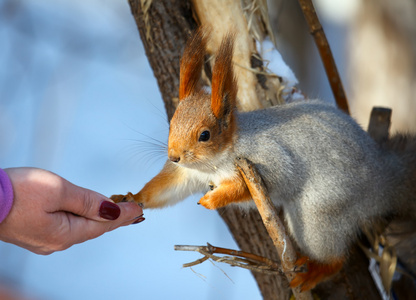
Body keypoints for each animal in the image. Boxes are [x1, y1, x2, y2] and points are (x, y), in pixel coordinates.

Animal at [110, 28, 416, 290]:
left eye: (205, 135)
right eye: (171, 124)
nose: (174, 156)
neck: (213, 163)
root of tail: (382, 176)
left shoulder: (266, 158)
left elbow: (260, 182)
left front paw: (214, 198)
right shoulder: (187, 174)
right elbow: (165, 190)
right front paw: (132, 197)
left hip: (319, 211)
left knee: (335, 257)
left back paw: (314, 272)